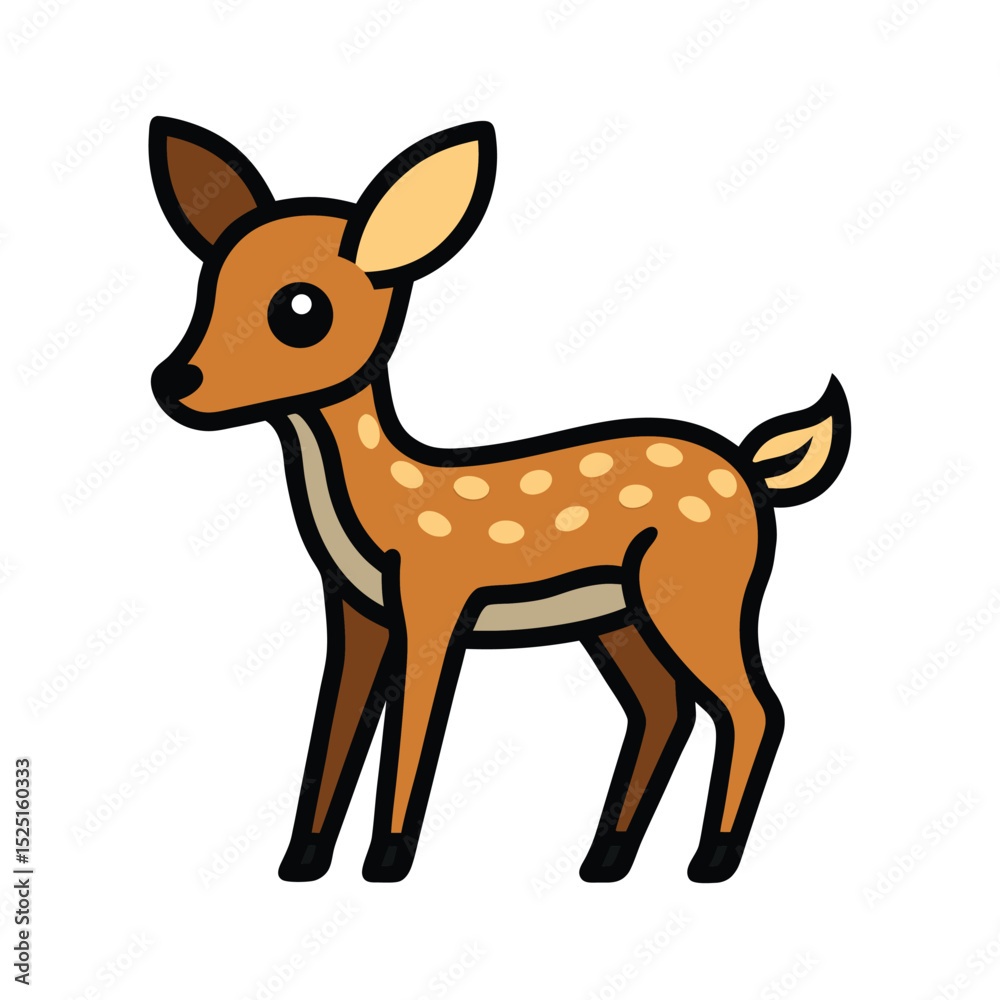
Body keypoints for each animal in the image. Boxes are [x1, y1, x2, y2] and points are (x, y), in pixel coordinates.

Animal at [148, 116, 850, 883]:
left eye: (300, 310)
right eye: (209, 281)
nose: (172, 381)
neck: (382, 507)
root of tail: (754, 471)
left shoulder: (436, 599)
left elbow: (416, 726)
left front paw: (387, 862)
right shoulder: (358, 611)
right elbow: (333, 728)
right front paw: (301, 863)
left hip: (699, 590)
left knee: (754, 709)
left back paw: (710, 861)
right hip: (619, 615)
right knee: (666, 709)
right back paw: (604, 860)